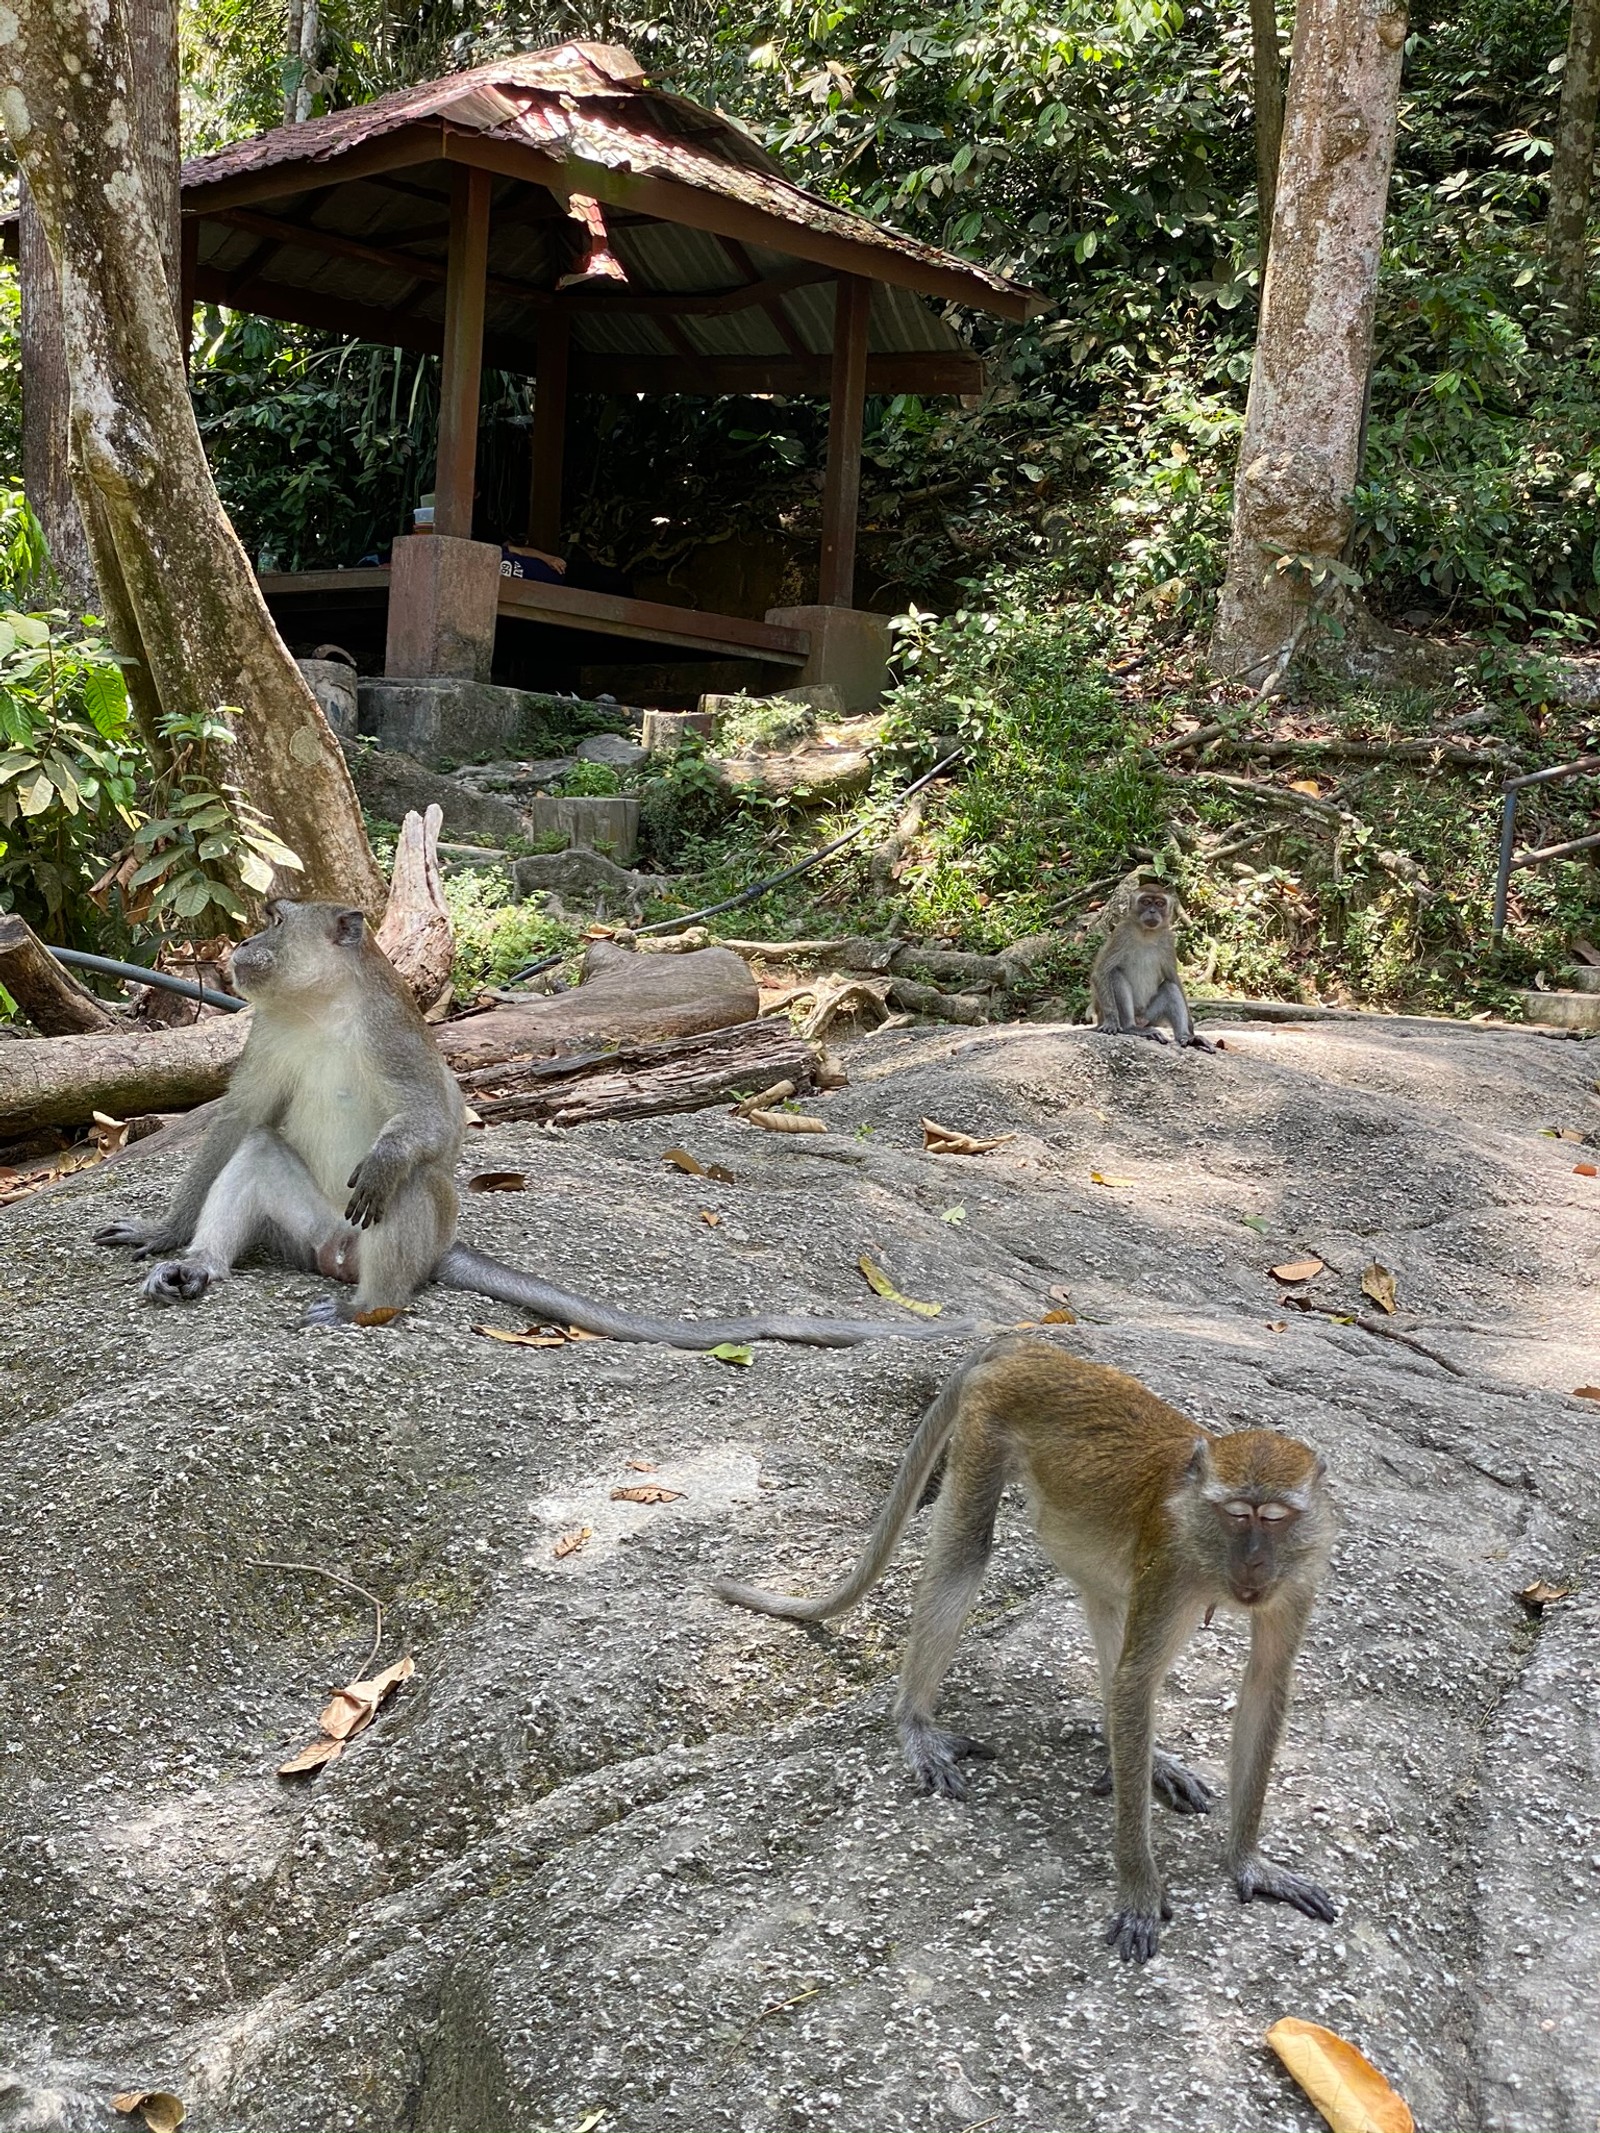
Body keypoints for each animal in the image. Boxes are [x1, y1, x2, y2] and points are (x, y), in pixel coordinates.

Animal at [103, 904, 977, 1348]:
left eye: (276, 918)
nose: (244, 944)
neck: (320, 1009)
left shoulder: (393, 1038)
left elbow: (437, 1124)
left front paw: (394, 1153)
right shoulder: (269, 1035)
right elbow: (238, 1121)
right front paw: (164, 1232)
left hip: (390, 1243)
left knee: (407, 1190)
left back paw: (368, 1305)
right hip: (313, 1231)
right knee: (259, 1149)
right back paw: (197, 1268)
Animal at [716, 1339, 1339, 1953]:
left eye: (1275, 1519)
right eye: (1237, 1515)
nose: (1254, 1562)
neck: (1208, 1548)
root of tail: (1036, 1347)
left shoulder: (1297, 1579)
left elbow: (1263, 1685)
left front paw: (1247, 1860)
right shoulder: (1172, 1564)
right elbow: (1137, 1680)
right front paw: (1139, 1888)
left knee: (1105, 1598)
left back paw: (1137, 1752)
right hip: (985, 1427)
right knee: (965, 1555)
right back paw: (915, 1721)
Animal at [1100, 883, 1220, 1049]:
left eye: (1159, 903)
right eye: (1146, 902)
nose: (1152, 911)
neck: (1146, 933)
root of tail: (1140, 1020)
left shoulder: (1168, 939)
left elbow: (1173, 979)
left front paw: (1191, 1032)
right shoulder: (1121, 932)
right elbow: (1103, 971)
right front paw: (1111, 1020)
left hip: (1150, 1017)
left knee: (1171, 988)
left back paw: (1186, 1037)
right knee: (1115, 974)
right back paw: (1131, 1027)